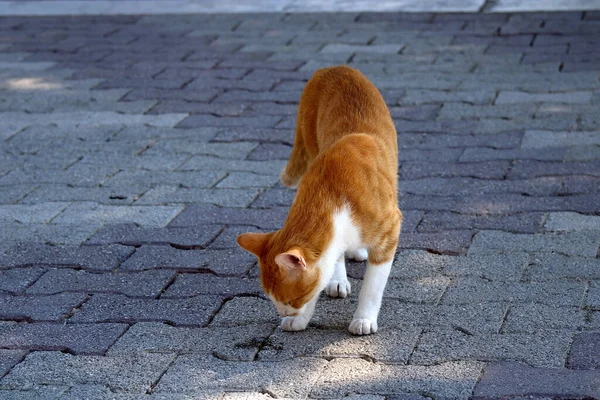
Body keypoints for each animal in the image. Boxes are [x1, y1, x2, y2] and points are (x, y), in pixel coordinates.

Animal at [237, 65, 400, 334]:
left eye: (292, 300)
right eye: (275, 301)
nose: (285, 312)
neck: (333, 195)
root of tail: (333, 68)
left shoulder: (390, 229)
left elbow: (373, 286)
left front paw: (364, 318)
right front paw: (302, 317)